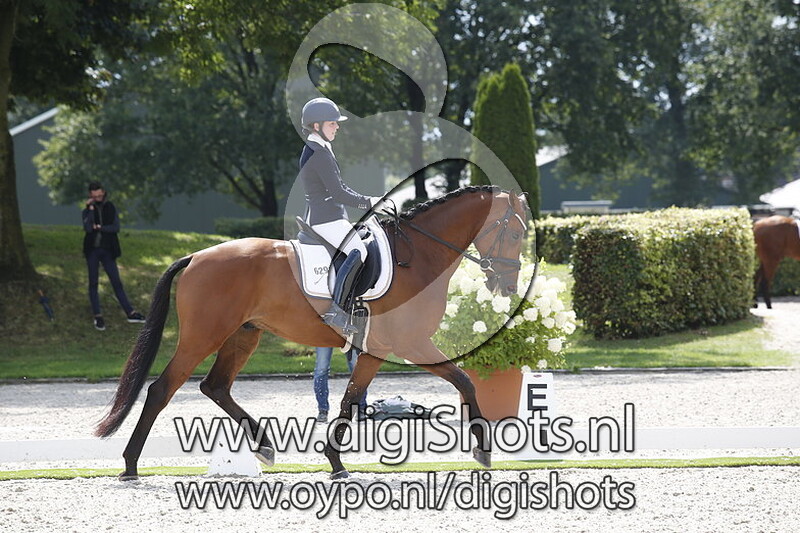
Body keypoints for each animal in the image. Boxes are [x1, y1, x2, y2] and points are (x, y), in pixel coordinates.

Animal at [95, 185, 531, 480]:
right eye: (514, 234)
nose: (508, 287)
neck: (420, 257)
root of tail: (196, 255)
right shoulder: (409, 343)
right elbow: (462, 381)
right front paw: (484, 452)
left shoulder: (377, 349)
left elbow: (352, 400)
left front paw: (335, 461)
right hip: (204, 336)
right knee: (162, 389)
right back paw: (130, 464)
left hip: (243, 335)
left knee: (215, 386)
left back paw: (265, 447)